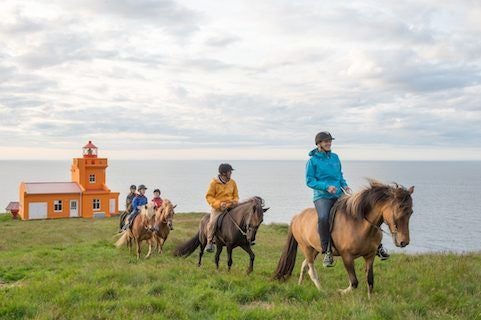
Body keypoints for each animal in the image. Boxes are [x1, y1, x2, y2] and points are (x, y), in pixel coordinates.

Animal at [274, 180, 412, 298]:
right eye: (398, 210)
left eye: (410, 212)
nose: (404, 242)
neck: (359, 225)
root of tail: (296, 217)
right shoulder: (347, 257)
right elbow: (354, 282)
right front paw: (340, 291)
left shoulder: (370, 256)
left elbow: (370, 281)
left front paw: (370, 300)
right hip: (306, 247)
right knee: (311, 270)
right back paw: (322, 290)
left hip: (315, 249)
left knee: (305, 265)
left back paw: (300, 285)